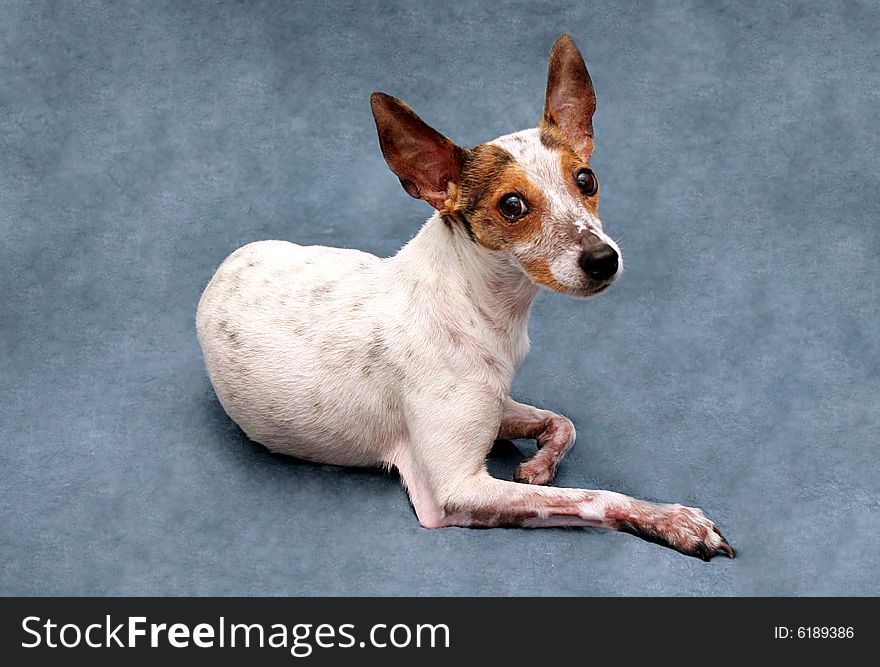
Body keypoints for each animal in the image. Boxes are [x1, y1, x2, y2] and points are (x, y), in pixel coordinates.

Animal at [198, 34, 736, 560]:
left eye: (586, 179)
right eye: (512, 205)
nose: (604, 259)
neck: (478, 306)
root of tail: (223, 267)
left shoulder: (497, 405)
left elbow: (563, 422)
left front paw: (540, 465)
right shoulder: (456, 489)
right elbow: (596, 497)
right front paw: (672, 520)